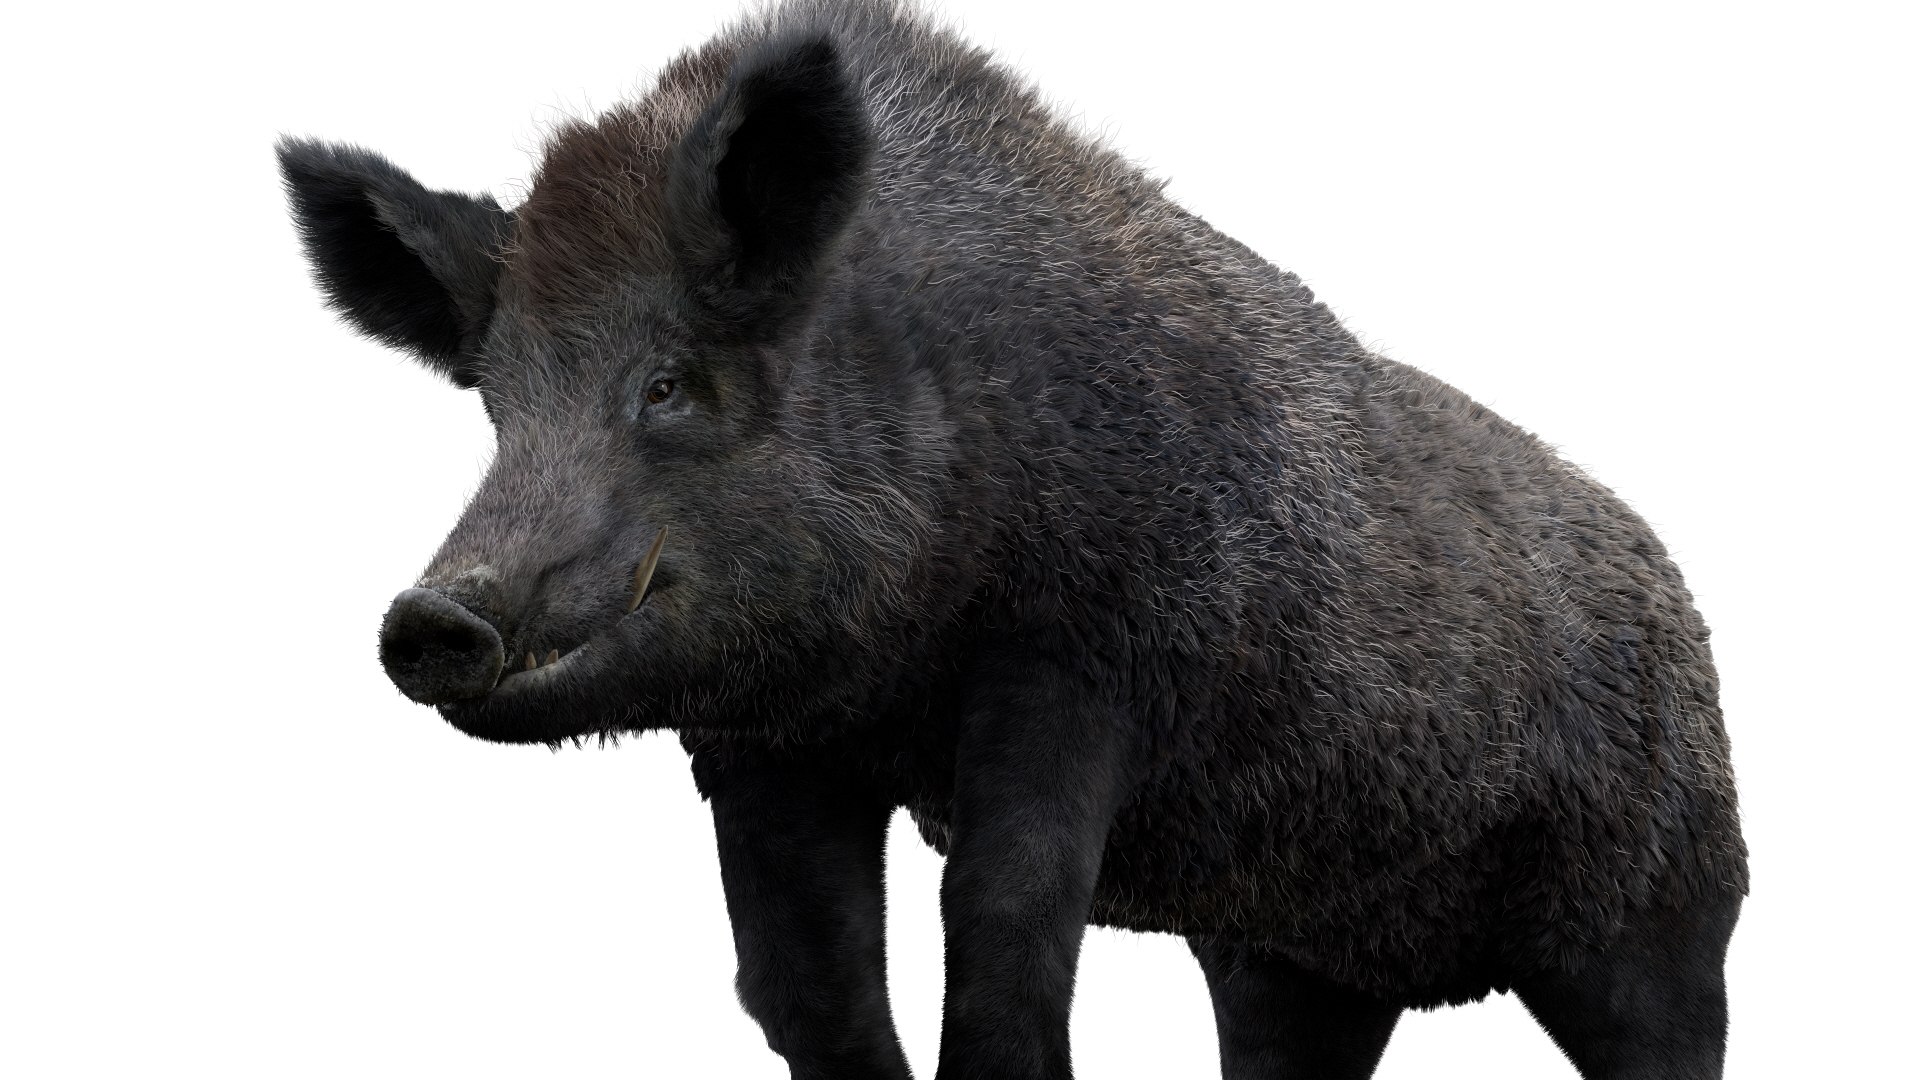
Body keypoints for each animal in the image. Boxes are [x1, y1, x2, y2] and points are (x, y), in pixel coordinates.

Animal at [276, 1, 1747, 1077]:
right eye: (496, 398)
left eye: (674, 386)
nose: (432, 616)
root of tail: (1676, 591)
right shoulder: (768, 742)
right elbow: (800, 985)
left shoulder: (1088, 661)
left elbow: (1002, 939)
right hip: (1295, 961)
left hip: (1666, 914)